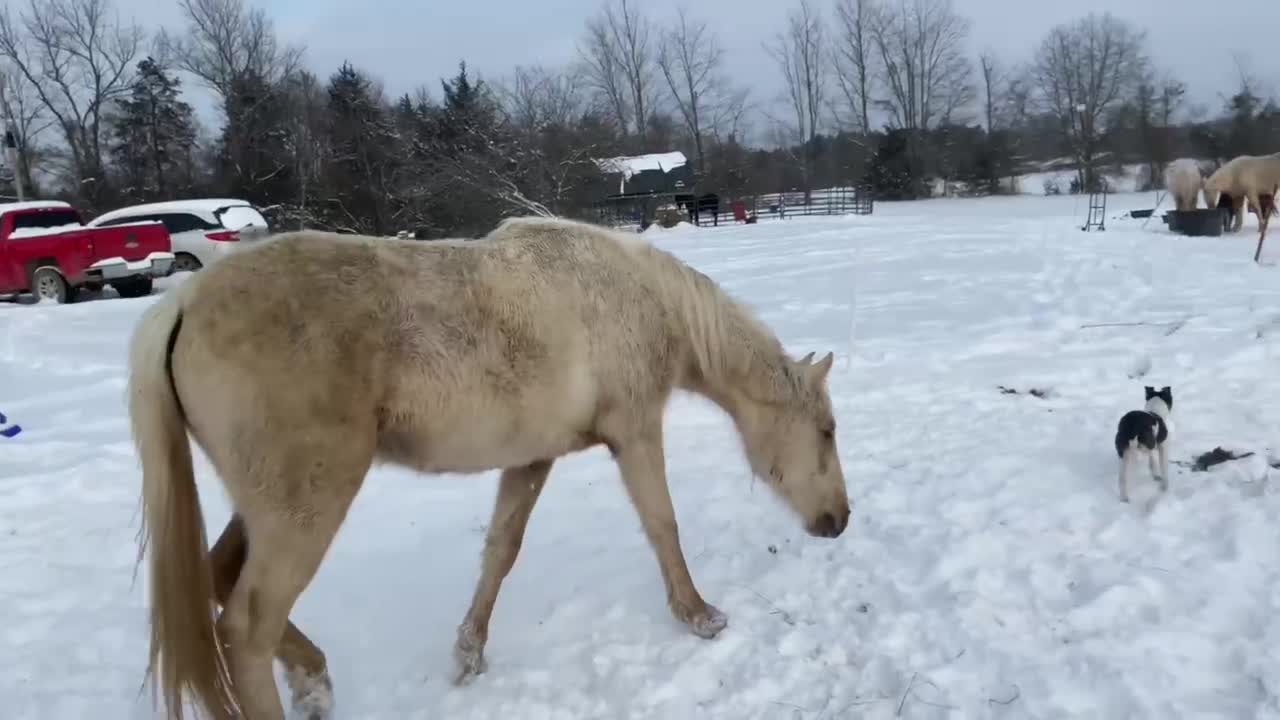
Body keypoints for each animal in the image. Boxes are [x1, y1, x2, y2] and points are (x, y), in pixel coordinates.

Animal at [127, 213, 849, 717]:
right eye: (827, 430)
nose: (838, 520)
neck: (638, 297)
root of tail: (179, 306)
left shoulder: (533, 457)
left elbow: (501, 548)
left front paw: (468, 655)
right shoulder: (636, 431)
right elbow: (662, 525)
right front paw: (700, 616)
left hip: (267, 510)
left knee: (220, 577)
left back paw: (315, 683)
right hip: (305, 509)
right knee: (246, 626)